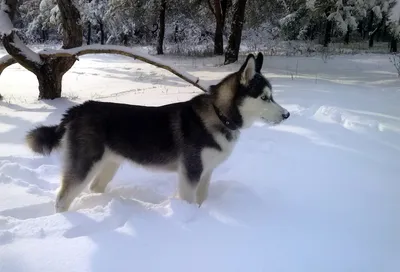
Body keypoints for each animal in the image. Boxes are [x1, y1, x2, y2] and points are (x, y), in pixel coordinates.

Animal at [25, 51, 290, 212]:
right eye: (264, 97)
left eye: (272, 96)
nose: (287, 115)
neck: (219, 115)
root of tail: (77, 109)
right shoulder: (190, 172)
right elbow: (188, 198)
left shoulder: (206, 172)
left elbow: (202, 198)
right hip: (85, 164)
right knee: (62, 198)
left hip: (109, 163)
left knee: (94, 187)